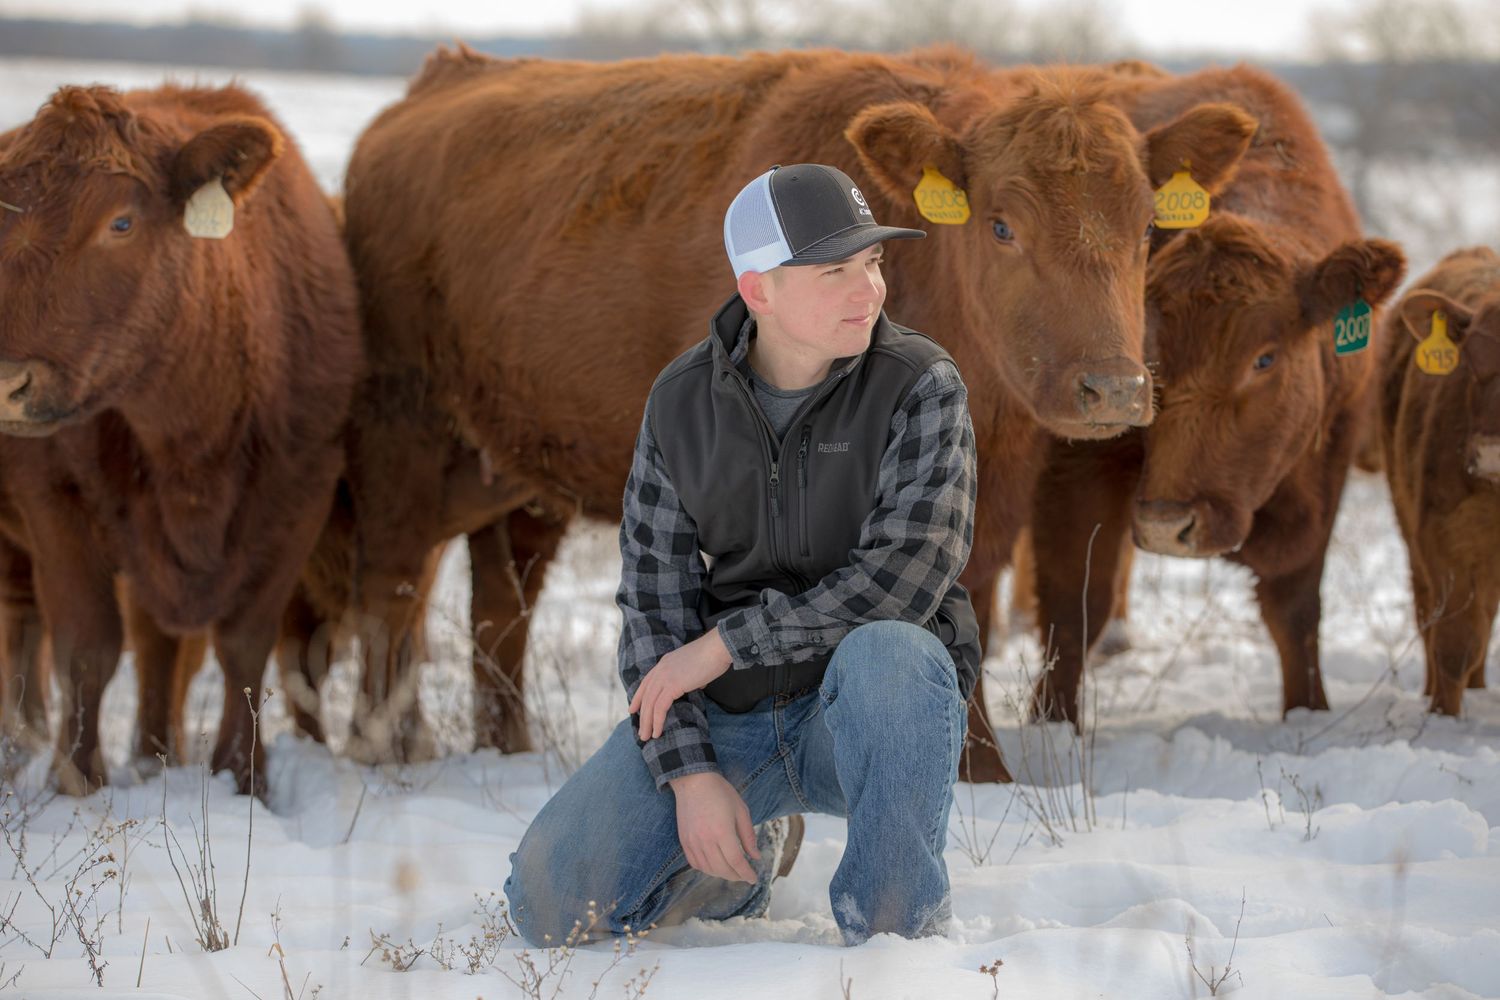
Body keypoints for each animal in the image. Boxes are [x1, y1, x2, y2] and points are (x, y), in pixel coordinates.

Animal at [0, 83, 362, 797]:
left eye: (120, 223)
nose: (5, 380)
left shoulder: (300, 494)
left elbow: (245, 643)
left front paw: (242, 776)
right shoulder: (54, 499)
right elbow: (87, 646)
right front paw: (75, 779)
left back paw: (150, 752)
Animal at [339, 44, 1257, 782]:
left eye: (1148, 228)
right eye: (1002, 225)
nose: (1115, 388)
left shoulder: (986, 480)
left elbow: (967, 591)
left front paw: (983, 770)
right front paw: (979, 769)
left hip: (513, 474)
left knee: (500, 605)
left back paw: (506, 747)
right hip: (403, 430)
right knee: (394, 581)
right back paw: (387, 749)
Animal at [1021, 64, 1406, 725]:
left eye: (1264, 358)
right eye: (1149, 354)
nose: (1167, 525)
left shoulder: (1326, 464)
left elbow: (1296, 610)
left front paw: (1308, 713)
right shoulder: (1077, 465)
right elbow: (1072, 606)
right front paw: (1053, 724)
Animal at [1379, 246, 1500, 716]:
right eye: (1471, 360)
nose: (1491, 453)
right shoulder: (1446, 534)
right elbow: (1455, 641)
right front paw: (1444, 720)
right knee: (1431, 610)